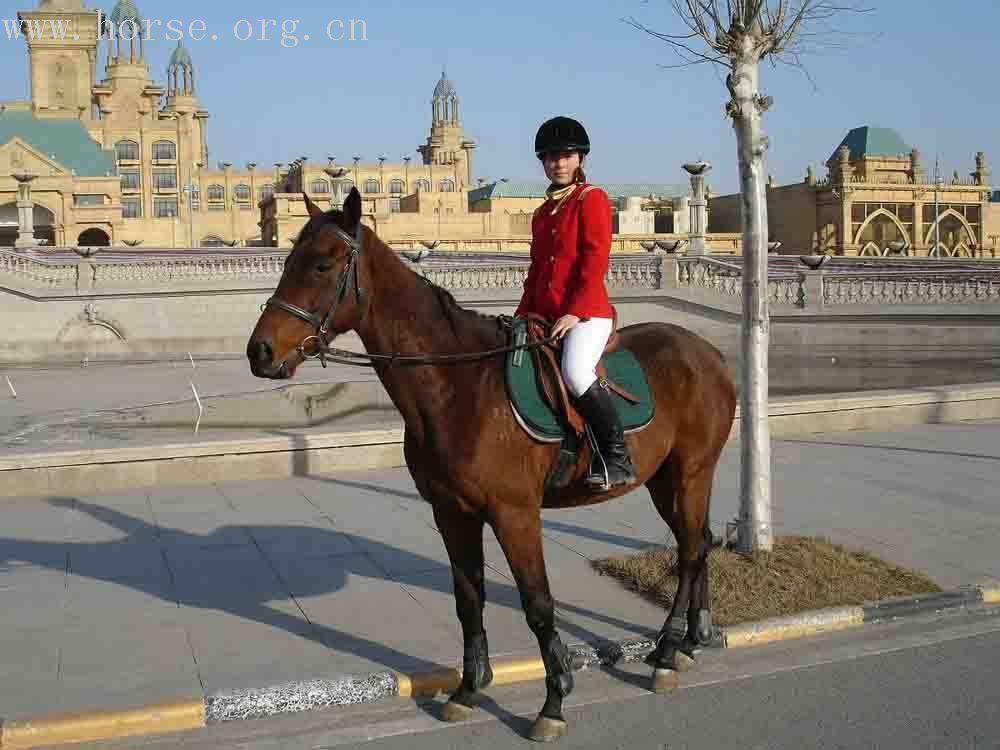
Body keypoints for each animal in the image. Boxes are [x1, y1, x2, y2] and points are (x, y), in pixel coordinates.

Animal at [248, 187, 736, 740]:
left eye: (322, 265)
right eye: (289, 260)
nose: (260, 351)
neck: (459, 386)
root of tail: (708, 352)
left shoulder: (514, 513)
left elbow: (538, 604)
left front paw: (554, 701)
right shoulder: (451, 513)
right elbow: (468, 598)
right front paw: (468, 689)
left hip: (692, 472)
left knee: (691, 551)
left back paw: (669, 652)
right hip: (665, 480)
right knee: (697, 543)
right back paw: (690, 640)